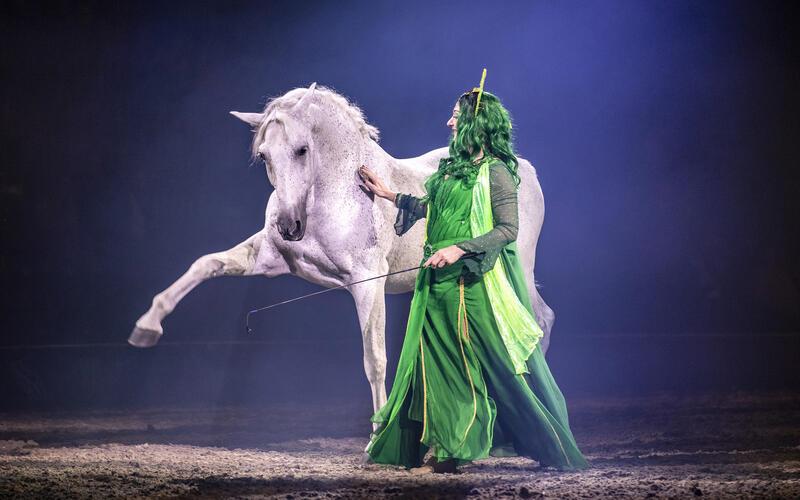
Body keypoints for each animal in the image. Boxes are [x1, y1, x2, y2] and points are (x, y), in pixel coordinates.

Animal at [128, 82, 556, 419]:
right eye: (264, 154)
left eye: (302, 150)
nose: (289, 226)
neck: (331, 198)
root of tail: (522, 168)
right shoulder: (268, 258)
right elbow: (205, 264)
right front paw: (147, 327)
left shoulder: (367, 284)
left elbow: (375, 358)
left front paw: (378, 429)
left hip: (515, 268)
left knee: (537, 319)